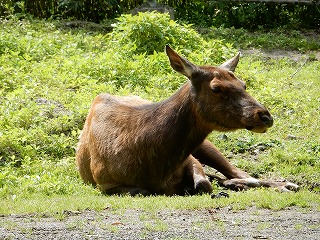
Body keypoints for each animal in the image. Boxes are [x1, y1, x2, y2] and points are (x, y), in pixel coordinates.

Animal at [76, 46, 298, 196]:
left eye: (243, 84)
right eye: (216, 88)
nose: (265, 116)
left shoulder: (190, 158)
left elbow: (204, 184)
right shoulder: (105, 183)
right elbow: (146, 190)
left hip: (206, 146)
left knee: (241, 173)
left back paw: (285, 185)